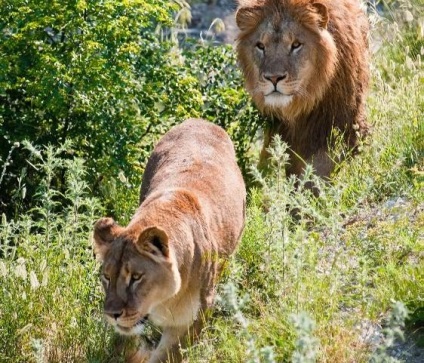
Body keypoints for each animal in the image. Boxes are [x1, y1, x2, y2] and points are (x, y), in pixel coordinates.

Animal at [93, 118, 245, 362]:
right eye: (107, 277)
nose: (112, 314)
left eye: (136, 277)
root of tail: (199, 120)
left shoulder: (192, 319)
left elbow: (167, 355)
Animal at [234, 0, 370, 178]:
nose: (273, 78)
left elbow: (318, 169)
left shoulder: (344, 124)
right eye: (260, 46)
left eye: (296, 45)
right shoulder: (279, 129)